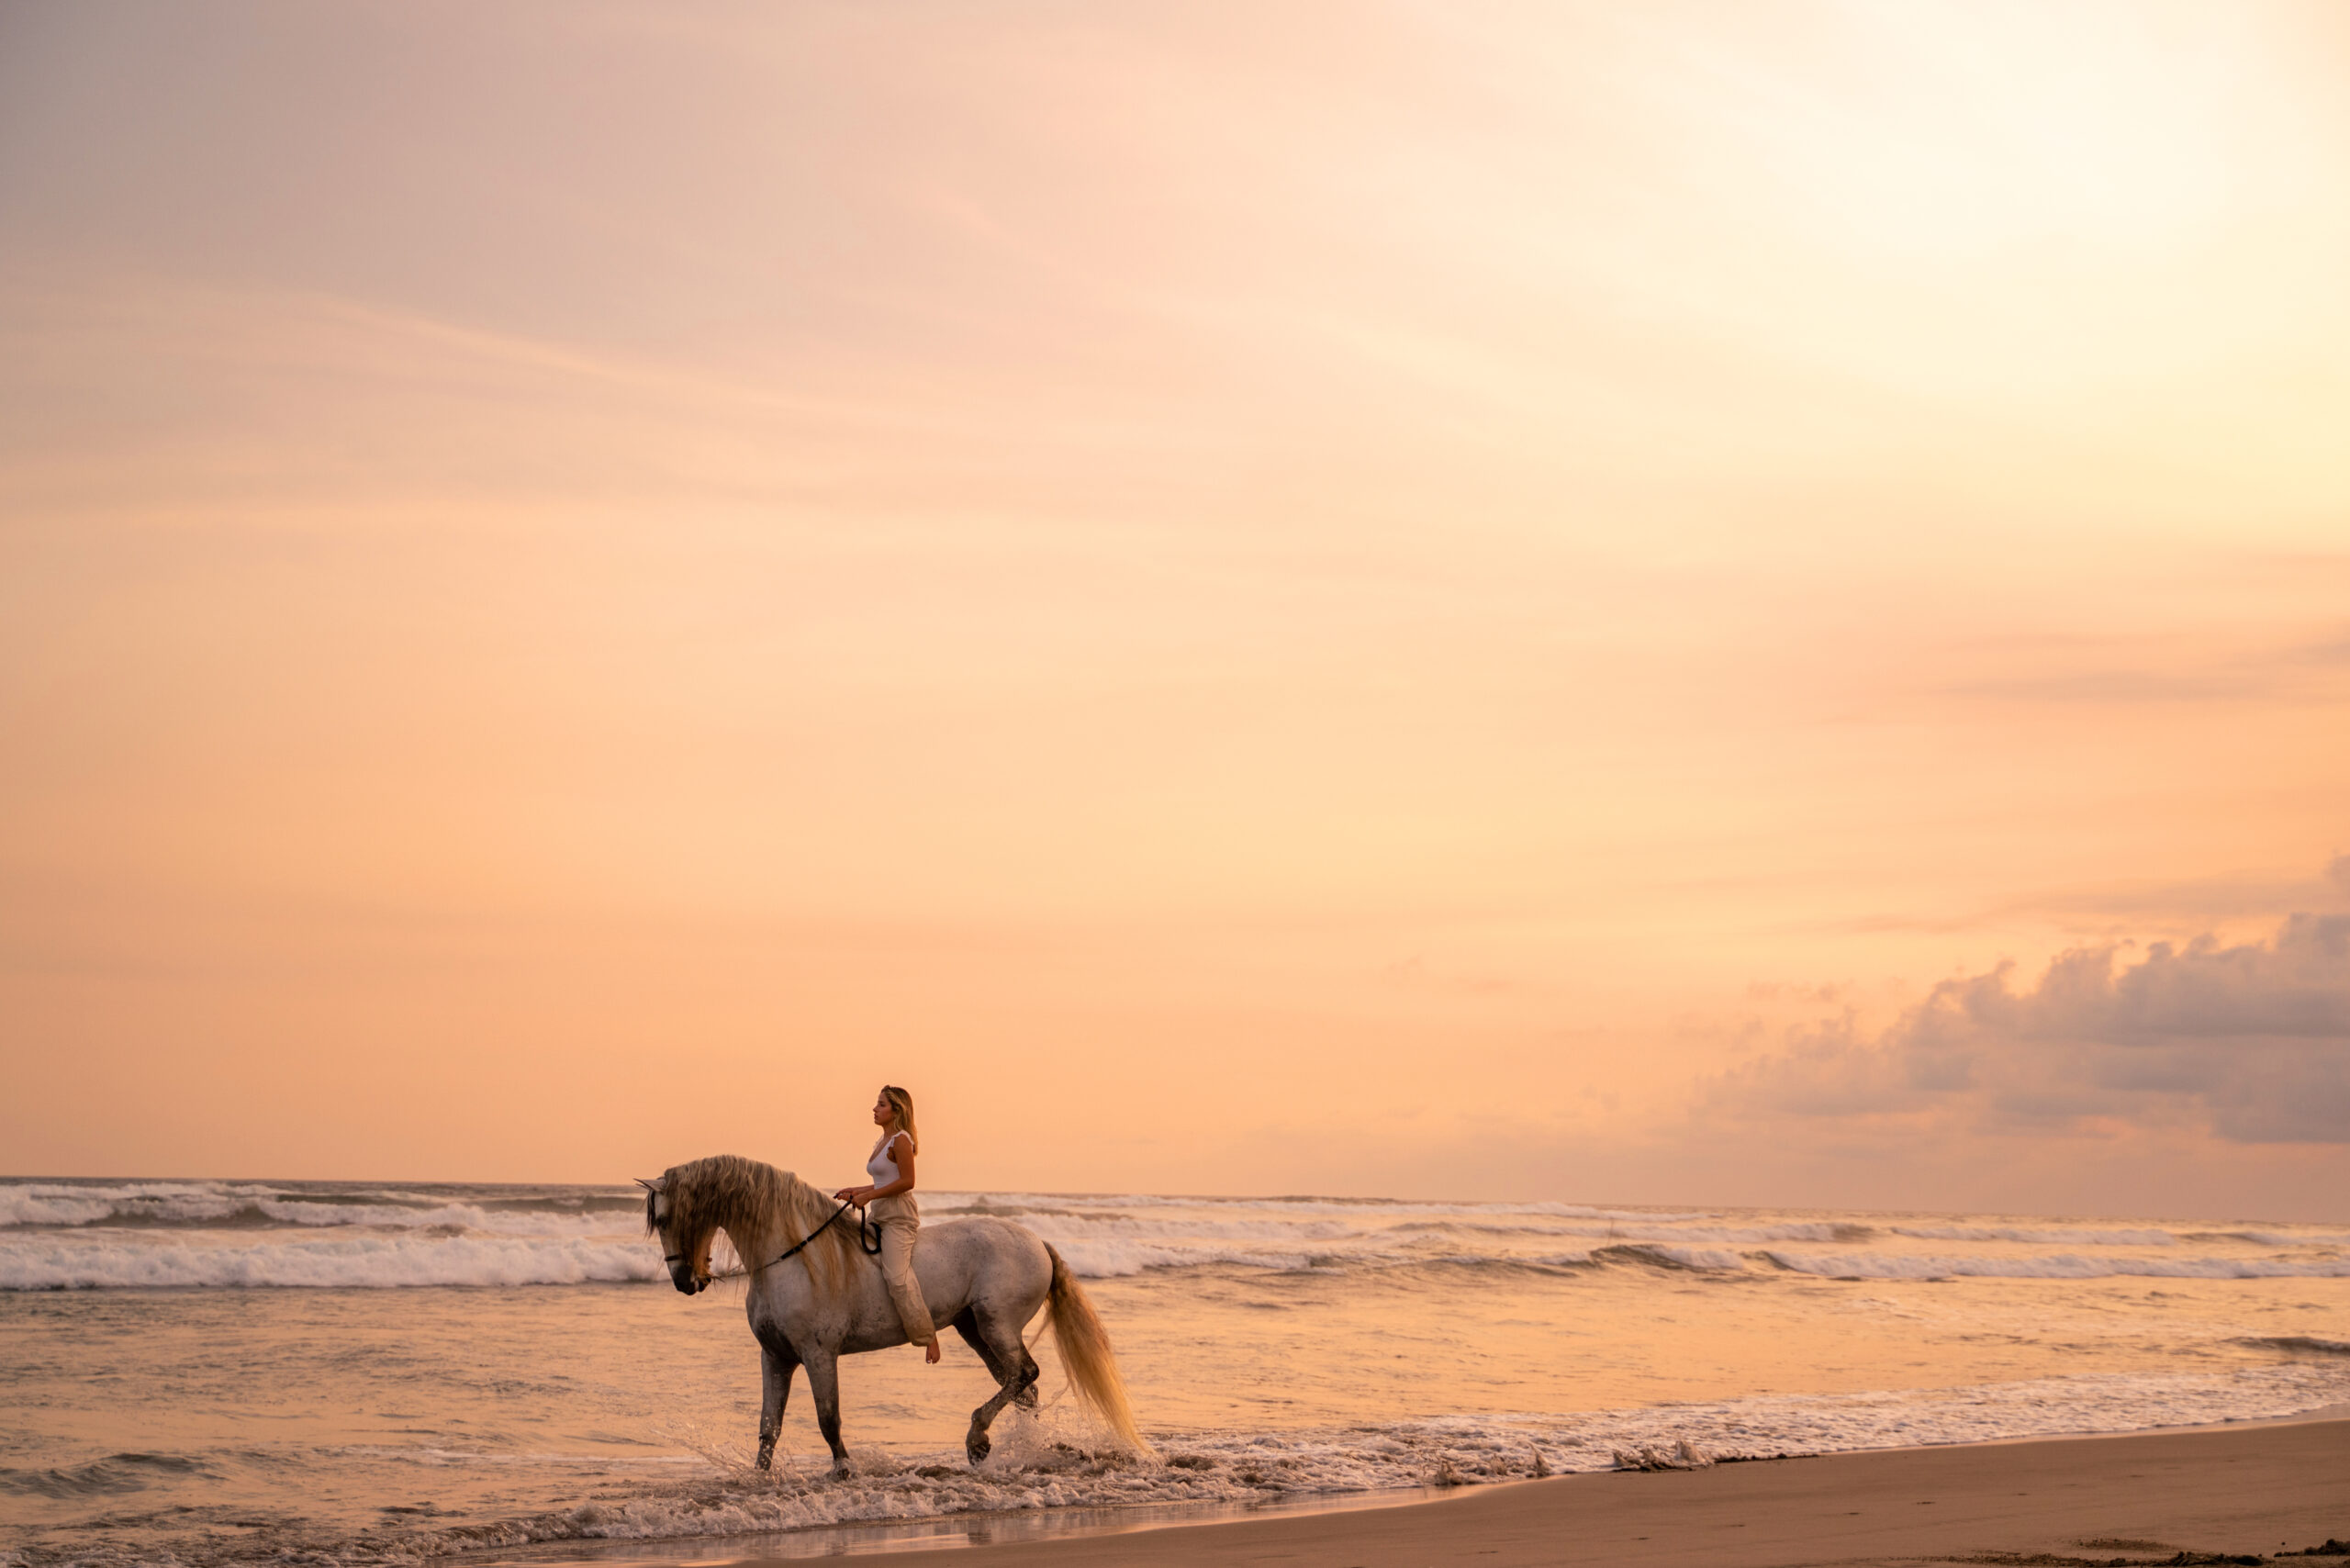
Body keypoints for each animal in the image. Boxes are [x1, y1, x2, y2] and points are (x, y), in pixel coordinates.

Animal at [643, 1151, 1156, 1476]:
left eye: (664, 1219)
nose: (685, 1281)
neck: (794, 1259)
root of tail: (1037, 1242)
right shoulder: (776, 1357)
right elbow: (769, 1428)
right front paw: (759, 1479)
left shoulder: (818, 1354)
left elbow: (828, 1418)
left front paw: (844, 1470)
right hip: (973, 1328)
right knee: (1022, 1387)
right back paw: (1015, 1450)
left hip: (996, 1324)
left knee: (1024, 1375)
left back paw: (978, 1438)